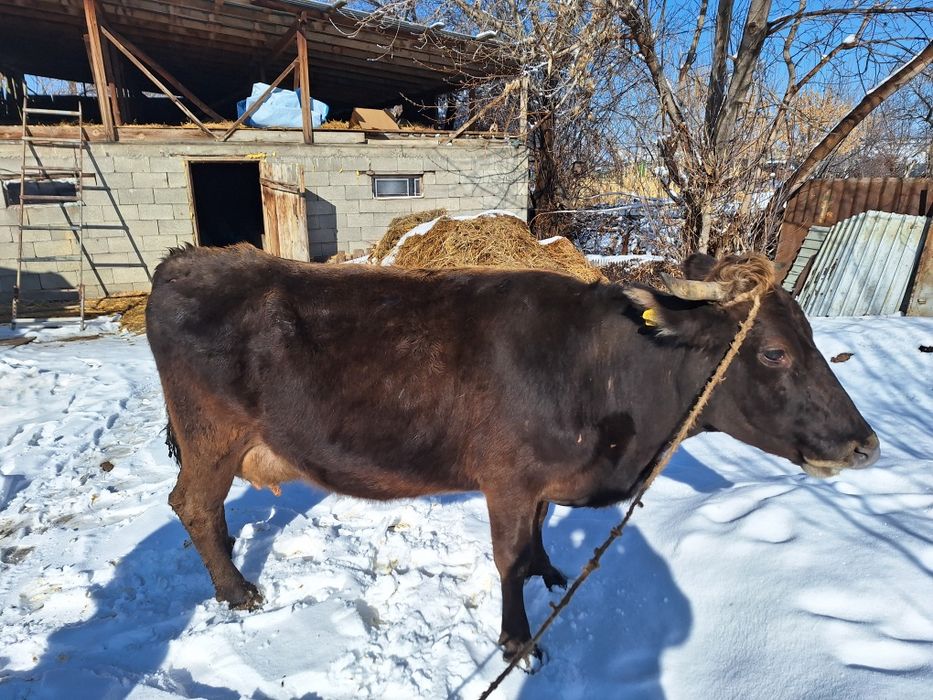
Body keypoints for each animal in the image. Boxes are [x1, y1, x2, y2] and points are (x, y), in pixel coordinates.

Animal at [145, 244, 879, 663]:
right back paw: (237, 591)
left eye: (812, 337)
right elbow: (508, 559)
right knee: (194, 506)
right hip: (211, 438)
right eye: (773, 352)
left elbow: (538, 541)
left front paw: (551, 573)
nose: (865, 444)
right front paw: (518, 641)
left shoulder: (544, 484)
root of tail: (188, 258)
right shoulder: (507, 480)